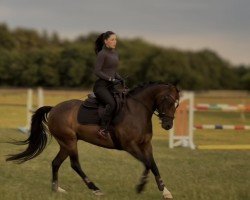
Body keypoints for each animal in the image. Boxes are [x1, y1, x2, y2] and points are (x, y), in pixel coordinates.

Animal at [6, 82, 180, 199]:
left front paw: (165, 192)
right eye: (168, 100)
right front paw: (141, 186)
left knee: (56, 163)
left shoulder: (146, 145)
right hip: (70, 142)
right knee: (75, 164)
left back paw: (57, 189)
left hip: (65, 144)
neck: (136, 111)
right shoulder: (130, 146)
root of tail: (54, 108)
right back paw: (95, 189)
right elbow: (147, 163)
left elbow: (153, 165)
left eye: (177, 103)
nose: (168, 125)